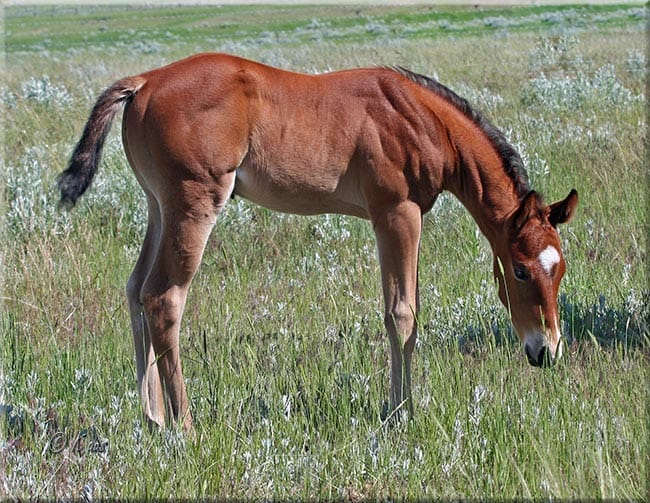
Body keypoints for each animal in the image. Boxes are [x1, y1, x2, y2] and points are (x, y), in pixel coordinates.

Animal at [59, 53, 576, 432]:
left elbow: (406, 312)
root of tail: (145, 82)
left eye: (561, 269)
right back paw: (184, 425)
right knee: (163, 298)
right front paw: (401, 413)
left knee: (135, 288)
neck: (423, 119)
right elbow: (402, 314)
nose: (546, 351)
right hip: (194, 205)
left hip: (157, 205)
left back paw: (152, 418)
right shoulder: (397, 213)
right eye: (521, 270)